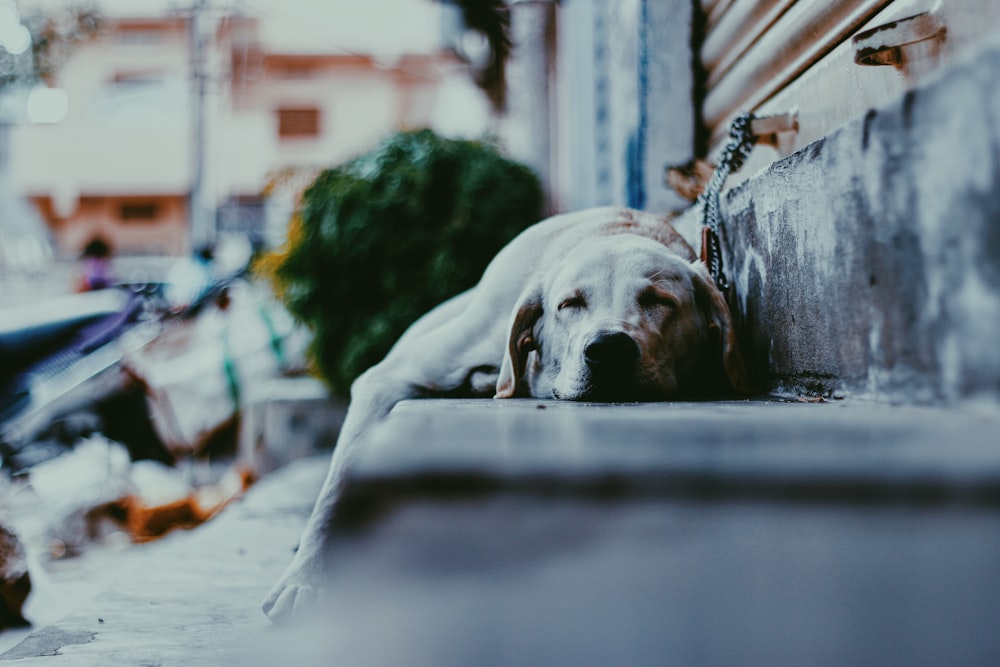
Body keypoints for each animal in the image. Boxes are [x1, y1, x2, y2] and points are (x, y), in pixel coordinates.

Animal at [262, 206, 748, 624]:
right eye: (569, 304)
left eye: (659, 300)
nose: (607, 349)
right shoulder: (386, 380)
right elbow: (336, 483)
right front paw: (307, 576)